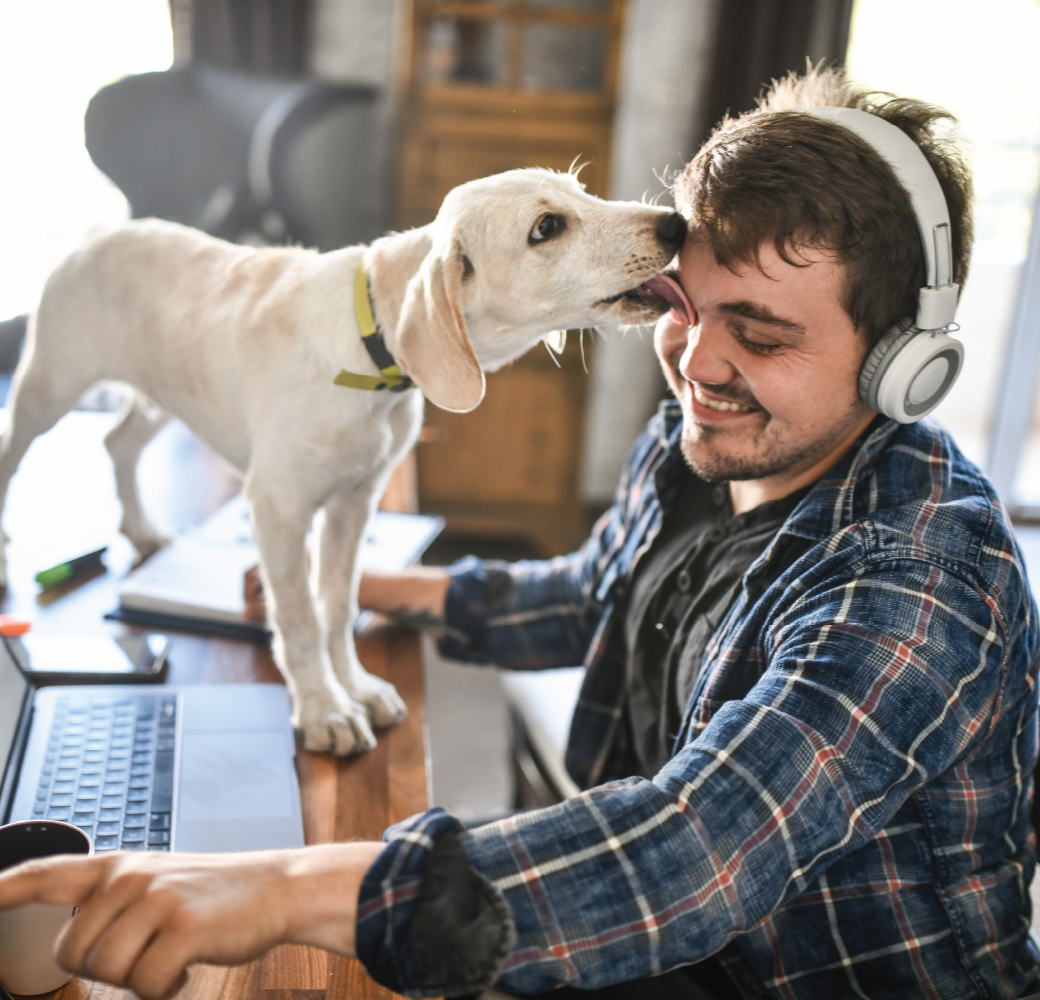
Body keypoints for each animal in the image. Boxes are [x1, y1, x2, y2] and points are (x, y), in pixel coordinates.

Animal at [0, 167, 690, 752]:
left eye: (583, 193)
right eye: (546, 227)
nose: (677, 224)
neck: (372, 355)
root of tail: (99, 231)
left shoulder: (355, 502)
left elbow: (336, 604)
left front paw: (353, 685)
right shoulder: (278, 509)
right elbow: (300, 618)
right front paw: (322, 708)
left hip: (164, 393)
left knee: (117, 443)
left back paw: (141, 531)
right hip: (47, 386)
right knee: (17, 451)